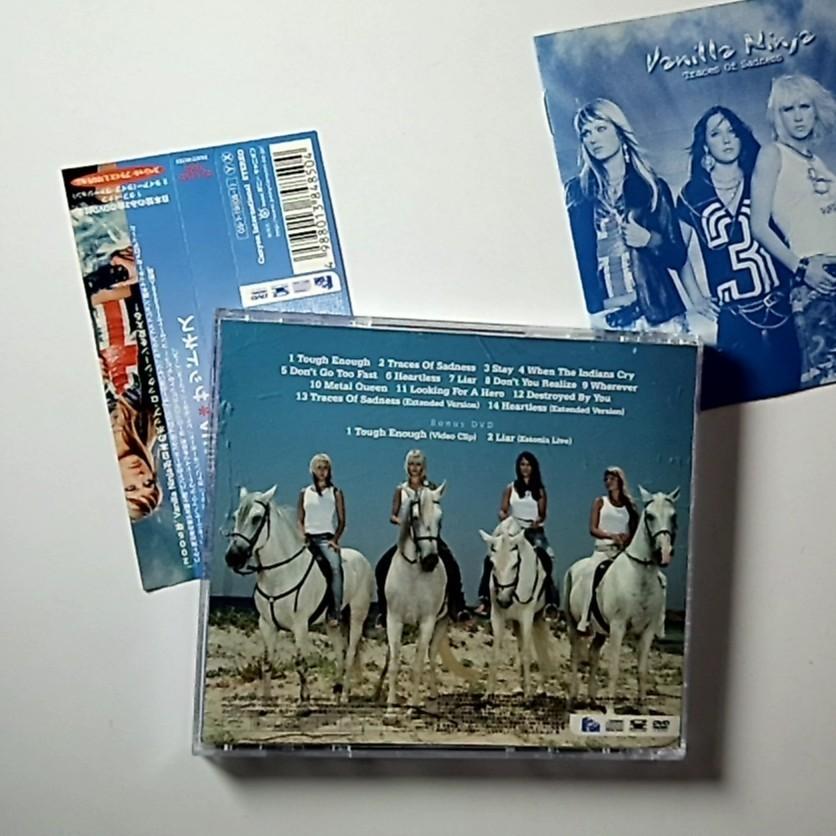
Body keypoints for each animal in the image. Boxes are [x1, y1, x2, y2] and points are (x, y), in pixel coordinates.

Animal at [224, 486, 374, 705]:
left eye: (256, 518)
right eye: (235, 516)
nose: (232, 557)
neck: (282, 573)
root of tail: (363, 560)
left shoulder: (300, 625)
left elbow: (301, 663)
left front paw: (305, 700)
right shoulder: (266, 625)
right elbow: (267, 663)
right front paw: (265, 702)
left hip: (357, 616)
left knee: (350, 653)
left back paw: (345, 695)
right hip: (332, 623)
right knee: (340, 652)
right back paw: (336, 693)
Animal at [377, 483, 473, 720]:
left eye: (441, 517)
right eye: (414, 517)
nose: (430, 561)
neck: (414, 572)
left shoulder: (427, 621)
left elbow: (418, 663)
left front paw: (413, 707)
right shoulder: (394, 620)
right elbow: (394, 662)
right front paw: (391, 709)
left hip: (441, 623)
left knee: (431, 657)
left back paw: (433, 699)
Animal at [479, 517, 555, 699]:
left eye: (515, 564)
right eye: (492, 563)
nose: (503, 600)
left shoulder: (527, 616)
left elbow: (527, 653)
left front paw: (528, 695)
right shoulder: (497, 616)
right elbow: (495, 653)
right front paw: (488, 693)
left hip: (538, 617)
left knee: (540, 649)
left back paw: (540, 688)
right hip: (518, 621)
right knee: (523, 648)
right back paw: (520, 687)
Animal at [563, 486, 679, 711]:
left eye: (673, 516)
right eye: (649, 516)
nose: (664, 552)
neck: (639, 576)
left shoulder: (647, 631)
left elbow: (642, 671)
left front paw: (643, 710)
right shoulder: (618, 627)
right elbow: (614, 669)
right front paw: (610, 711)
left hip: (601, 632)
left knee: (593, 654)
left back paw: (592, 699)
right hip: (575, 625)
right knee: (575, 656)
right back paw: (572, 699)